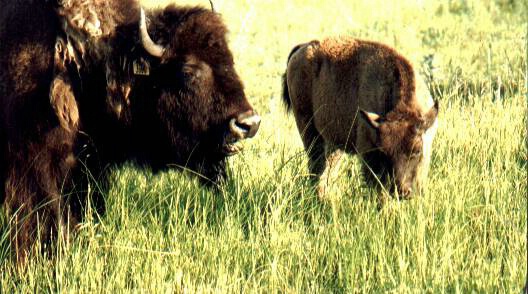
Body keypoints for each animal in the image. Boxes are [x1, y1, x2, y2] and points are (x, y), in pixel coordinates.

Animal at [282, 36, 440, 198]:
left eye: (417, 150)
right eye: (384, 152)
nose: (401, 191)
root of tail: (302, 48)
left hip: (334, 142)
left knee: (327, 170)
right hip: (308, 129)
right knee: (317, 167)